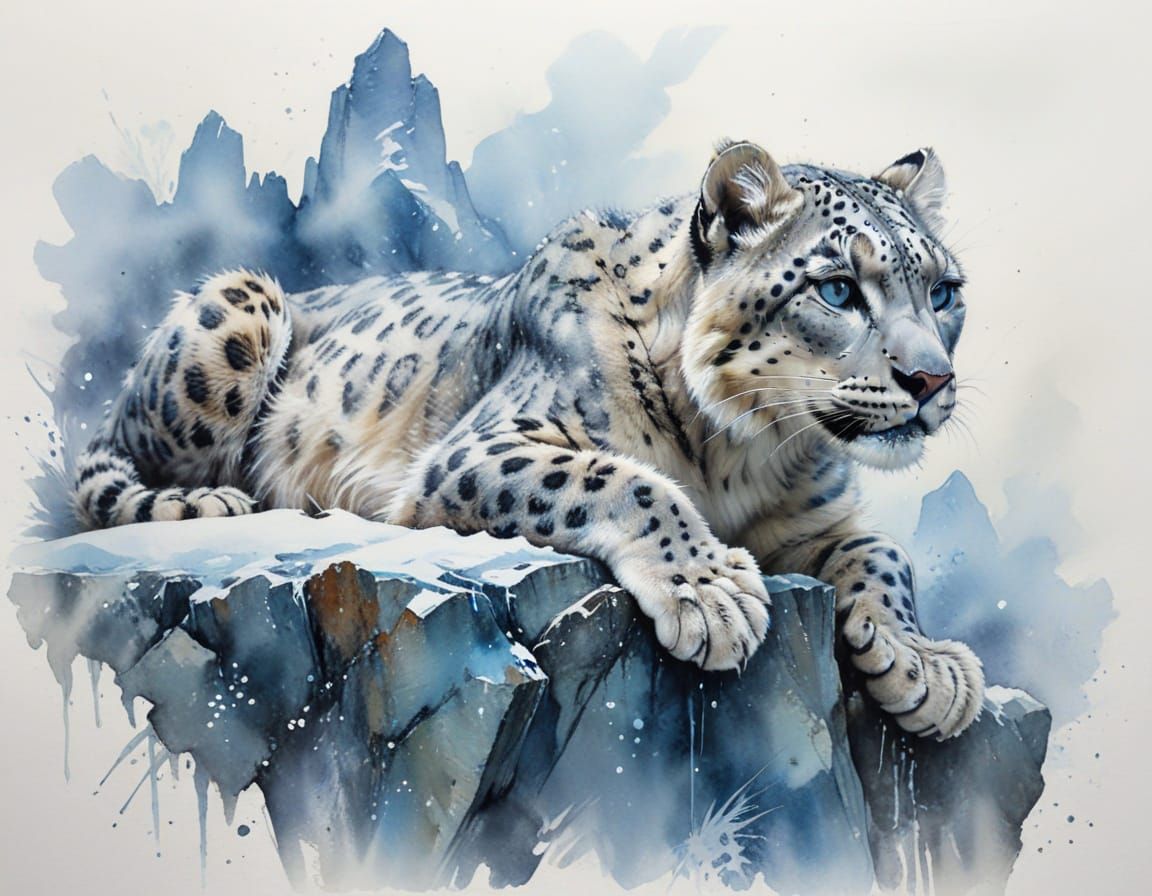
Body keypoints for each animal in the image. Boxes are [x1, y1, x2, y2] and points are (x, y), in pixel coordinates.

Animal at [73, 140, 985, 739]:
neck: (749, 452)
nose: (931, 381)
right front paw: (709, 592)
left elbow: (883, 552)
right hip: (238, 306)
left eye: (943, 291)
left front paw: (922, 665)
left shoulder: (811, 522)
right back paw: (212, 495)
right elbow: (623, 479)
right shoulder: (475, 453)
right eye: (838, 289)